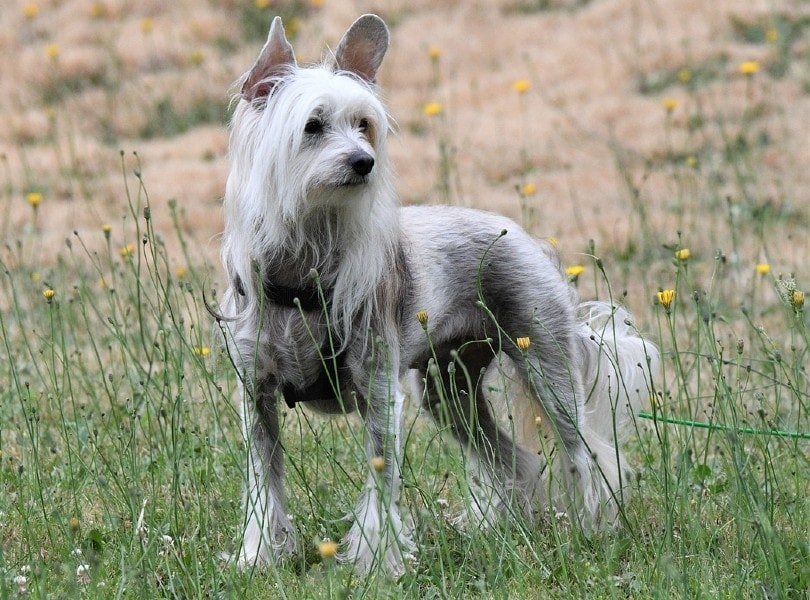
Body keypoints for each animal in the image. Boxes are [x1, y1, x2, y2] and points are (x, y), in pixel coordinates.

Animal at [219, 12, 656, 576]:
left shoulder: (380, 394)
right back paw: (508, 529)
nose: (364, 162)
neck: (303, 272)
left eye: (364, 125)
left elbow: (381, 484)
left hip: (546, 371)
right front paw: (257, 558)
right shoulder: (258, 396)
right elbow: (263, 485)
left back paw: (592, 531)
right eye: (313, 126)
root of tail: (526, 238)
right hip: (449, 391)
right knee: (514, 460)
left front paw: (378, 562)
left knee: (587, 456)